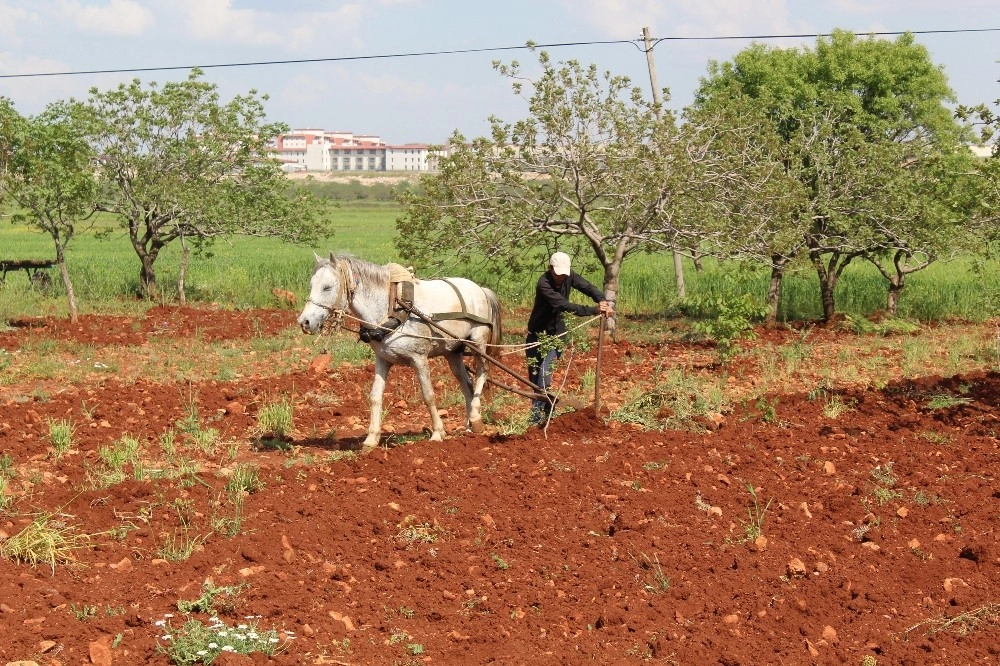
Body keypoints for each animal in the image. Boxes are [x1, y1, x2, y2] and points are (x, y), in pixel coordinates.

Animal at [294, 253, 500, 452]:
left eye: (327, 287)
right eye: (311, 285)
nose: (304, 322)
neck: (392, 308)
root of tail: (480, 289)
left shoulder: (419, 358)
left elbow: (428, 395)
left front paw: (437, 433)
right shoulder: (382, 359)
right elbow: (375, 396)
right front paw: (371, 439)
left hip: (478, 343)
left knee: (482, 374)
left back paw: (476, 419)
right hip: (453, 351)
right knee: (466, 384)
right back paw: (469, 426)